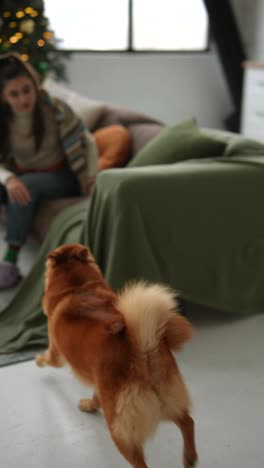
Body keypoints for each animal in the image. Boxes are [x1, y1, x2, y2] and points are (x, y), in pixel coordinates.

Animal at [35, 243, 197, 466]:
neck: (77, 288)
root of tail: (142, 351)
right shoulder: (99, 381)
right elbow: (95, 396)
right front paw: (90, 406)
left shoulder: (56, 352)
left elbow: (47, 359)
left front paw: (37, 360)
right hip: (169, 401)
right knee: (188, 422)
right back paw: (189, 458)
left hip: (120, 429)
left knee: (139, 461)